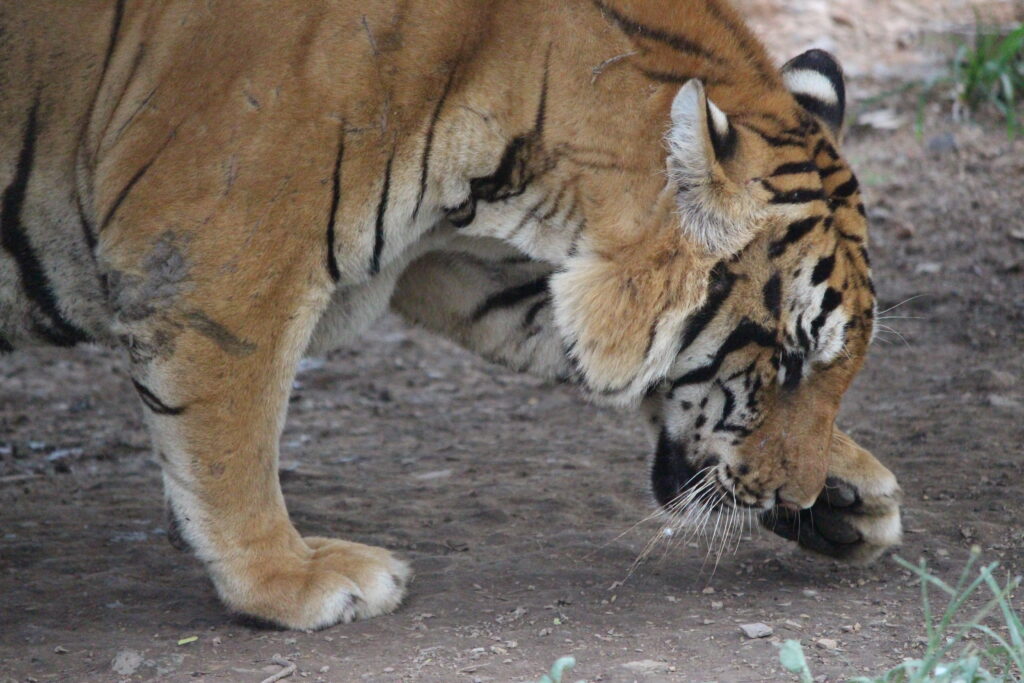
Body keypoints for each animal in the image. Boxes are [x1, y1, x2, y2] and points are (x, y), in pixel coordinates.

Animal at [0, 0, 901, 630]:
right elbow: (230, 440)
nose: (795, 489)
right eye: (787, 357)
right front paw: (287, 580)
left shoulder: (470, 264)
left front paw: (846, 490)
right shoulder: (223, 253)